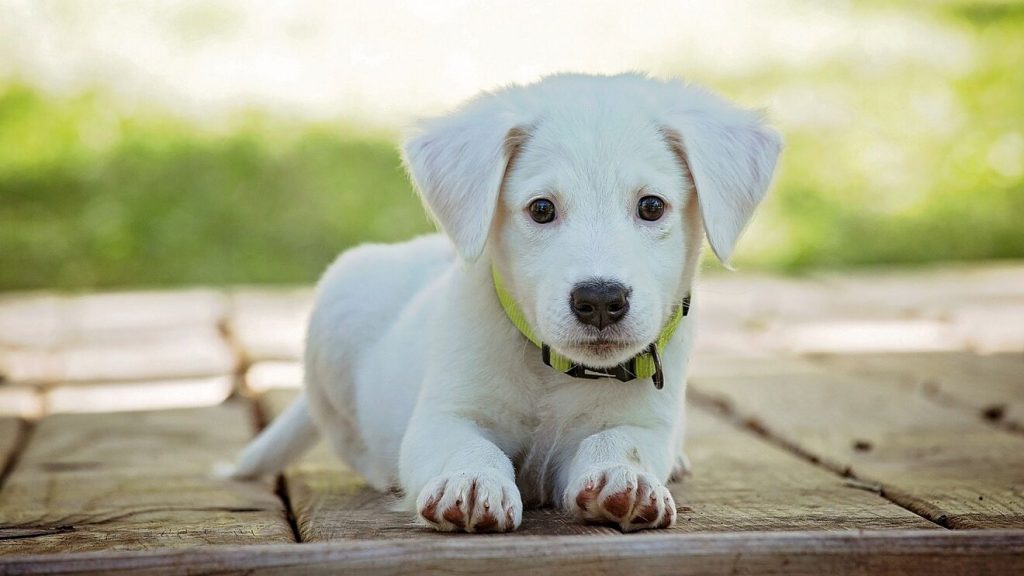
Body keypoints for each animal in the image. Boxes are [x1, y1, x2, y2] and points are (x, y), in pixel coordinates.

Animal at [230, 73, 774, 532]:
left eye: (652, 206)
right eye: (542, 209)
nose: (600, 300)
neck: (554, 371)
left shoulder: (644, 423)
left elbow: (618, 442)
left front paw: (625, 479)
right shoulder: (443, 416)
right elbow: (467, 447)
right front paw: (472, 483)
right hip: (337, 312)